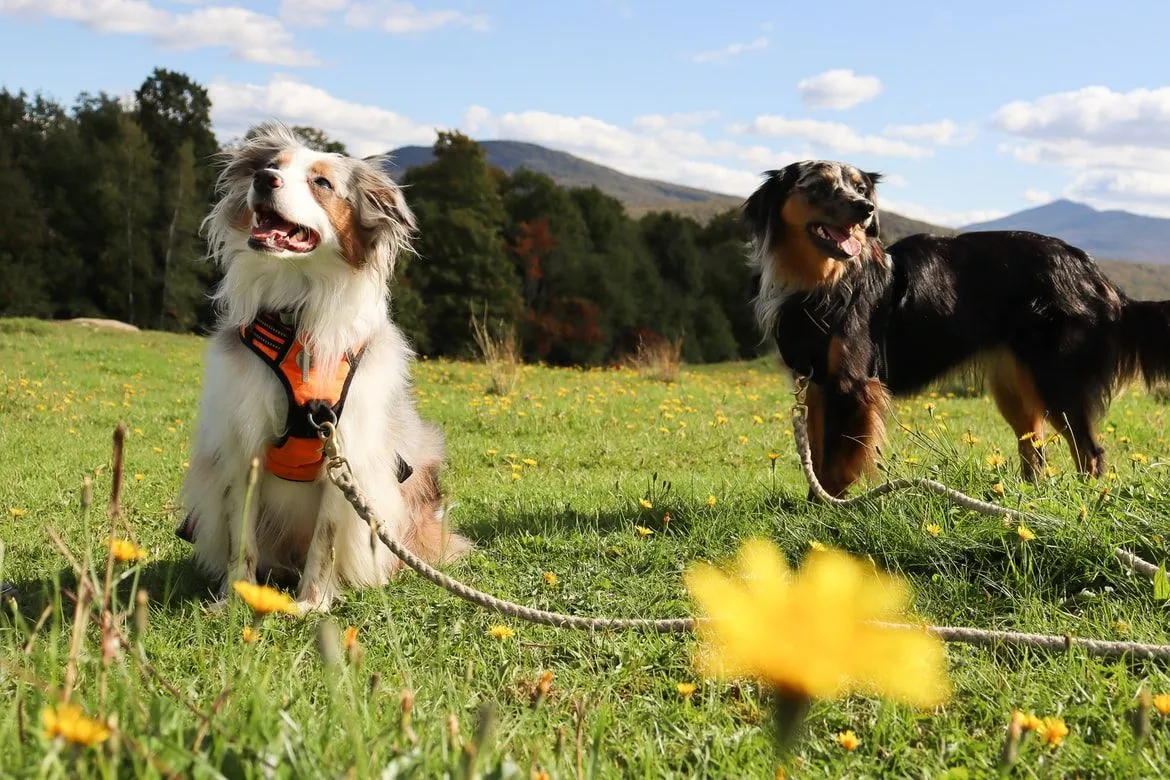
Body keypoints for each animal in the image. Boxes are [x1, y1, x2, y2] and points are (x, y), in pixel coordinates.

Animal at [176, 122, 465, 612]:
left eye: (322, 183)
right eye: (271, 166)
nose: (264, 180)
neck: (298, 315)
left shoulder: (346, 452)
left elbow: (325, 540)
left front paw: (310, 604)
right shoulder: (241, 445)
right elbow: (240, 536)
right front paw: (236, 600)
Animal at [744, 161, 1170, 498]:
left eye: (861, 188)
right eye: (817, 186)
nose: (865, 209)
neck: (823, 282)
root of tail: (1096, 274)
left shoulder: (852, 384)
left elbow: (835, 463)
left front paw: (830, 510)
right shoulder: (816, 384)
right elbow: (816, 454)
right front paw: (814, 506)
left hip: (1056, 378)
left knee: (1089, 451)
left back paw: (1083, 502)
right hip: (1014, 385)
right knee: (1035, 448)